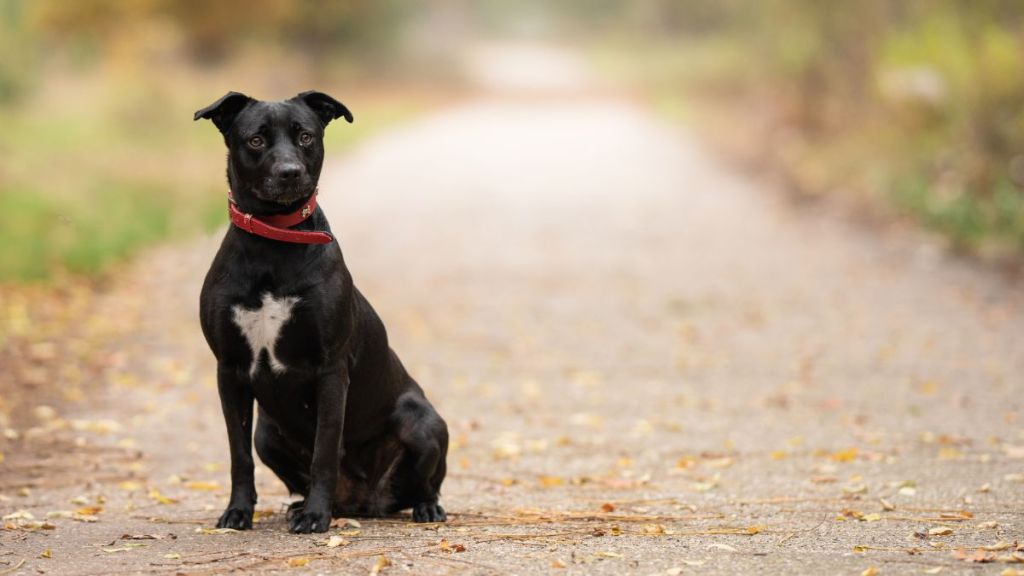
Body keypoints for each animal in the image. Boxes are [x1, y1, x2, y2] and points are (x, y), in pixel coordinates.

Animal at [193, 90, 446, 532]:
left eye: (306, 136)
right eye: (256, 140)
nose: (290, 172)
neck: (273, 242)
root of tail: (367, 502)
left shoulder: (330, 371)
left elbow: (325, 450)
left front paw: (315, 516)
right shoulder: (229, 371)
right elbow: (238, 456)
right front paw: (238, 512)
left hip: (423, 421)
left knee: (426, 485)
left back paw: (423, 508)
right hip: (267, 434)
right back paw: (305, 505)